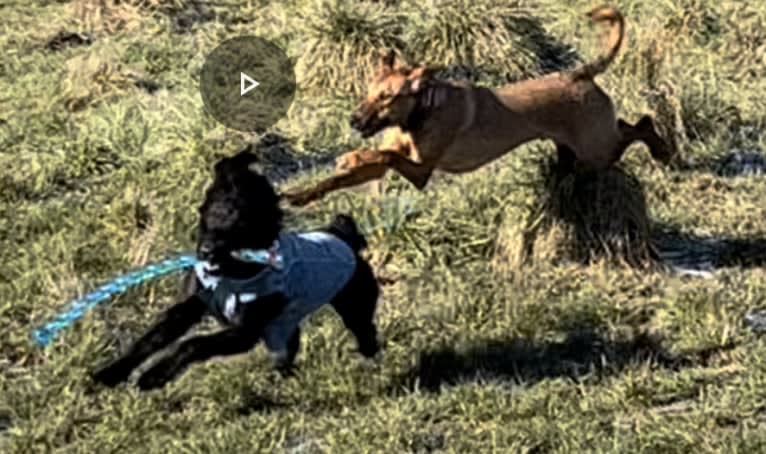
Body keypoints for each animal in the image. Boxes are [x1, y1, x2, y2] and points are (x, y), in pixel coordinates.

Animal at [91, 150, 382, 390]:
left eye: (240, 225)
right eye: (207, 211)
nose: (205, 252)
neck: (231, 276)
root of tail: (342, 235)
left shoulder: (244, 332)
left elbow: (194, 343)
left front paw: (155, 375)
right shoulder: (189, 306)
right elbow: (150, 339)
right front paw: (112, 373)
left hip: (355, 304)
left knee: (366, 332)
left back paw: (369, 362)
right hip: (282, 324)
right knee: (289, 346)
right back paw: (285, 378)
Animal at [282, 4, 672, 207]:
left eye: (387, 98)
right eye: (366, 92)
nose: (353, 121)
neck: (420, 113)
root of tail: (578, 73)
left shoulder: (421, 172)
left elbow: (385, 154)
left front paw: (355, 155)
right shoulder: (393, 166)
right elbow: (345, 175)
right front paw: (300, 194)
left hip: (597, 150)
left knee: (640, 126)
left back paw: (662, 149)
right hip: (578, 147)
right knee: (621, 129)